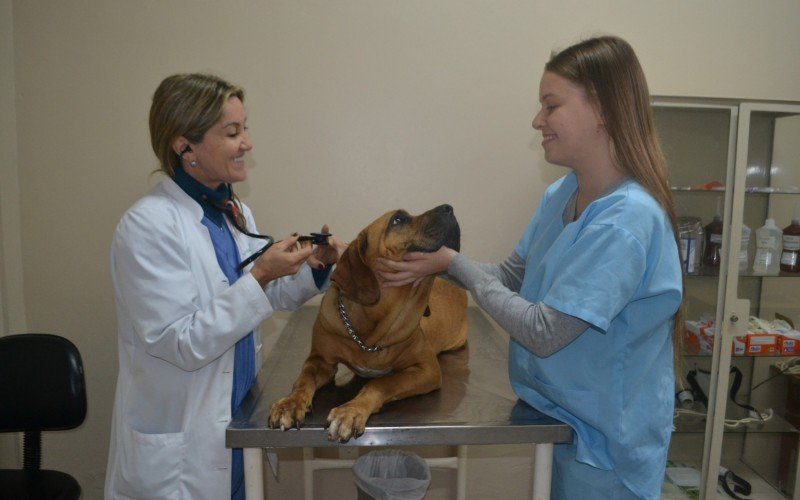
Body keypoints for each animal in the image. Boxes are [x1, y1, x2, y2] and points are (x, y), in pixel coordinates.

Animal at [268, 203, 468, 442]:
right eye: (398, 220)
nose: (449, 208)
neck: (371, 333)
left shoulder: (427, 369)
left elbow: (382, 382)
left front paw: (351, 411)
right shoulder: (320, 360)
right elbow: (303, 379)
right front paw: (290, 403)